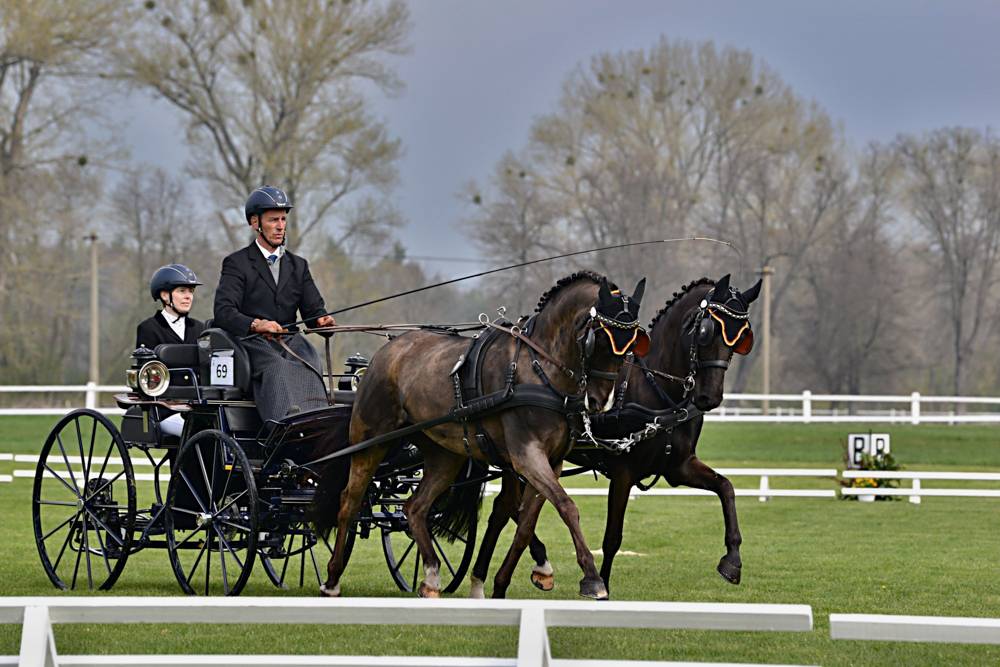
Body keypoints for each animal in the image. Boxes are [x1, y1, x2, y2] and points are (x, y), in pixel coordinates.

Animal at [316, 272, 652, 600]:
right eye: (599, 339)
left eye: (633, 345)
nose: (599, 402)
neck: (539, 370)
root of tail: (386, 351)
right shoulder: (527, 456)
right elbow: (566, 506)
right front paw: (593, 579)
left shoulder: (551, 462)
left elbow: (526, 523)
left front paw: (520, 577)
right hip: (370, 440)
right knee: (349, 501)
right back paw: (332, 578)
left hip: (444, 455)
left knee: (415, 507)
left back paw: (432, 576)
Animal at [472, 274, 760, 596]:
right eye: (706, 331)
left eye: (742, 337)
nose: (709, 397)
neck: (656, 389)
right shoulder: (623, 472)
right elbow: (612, 537)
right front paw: (602, 584)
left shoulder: (679, 467)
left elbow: (726, 487)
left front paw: (732, 561)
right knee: (508, 509)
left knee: (504, 508)